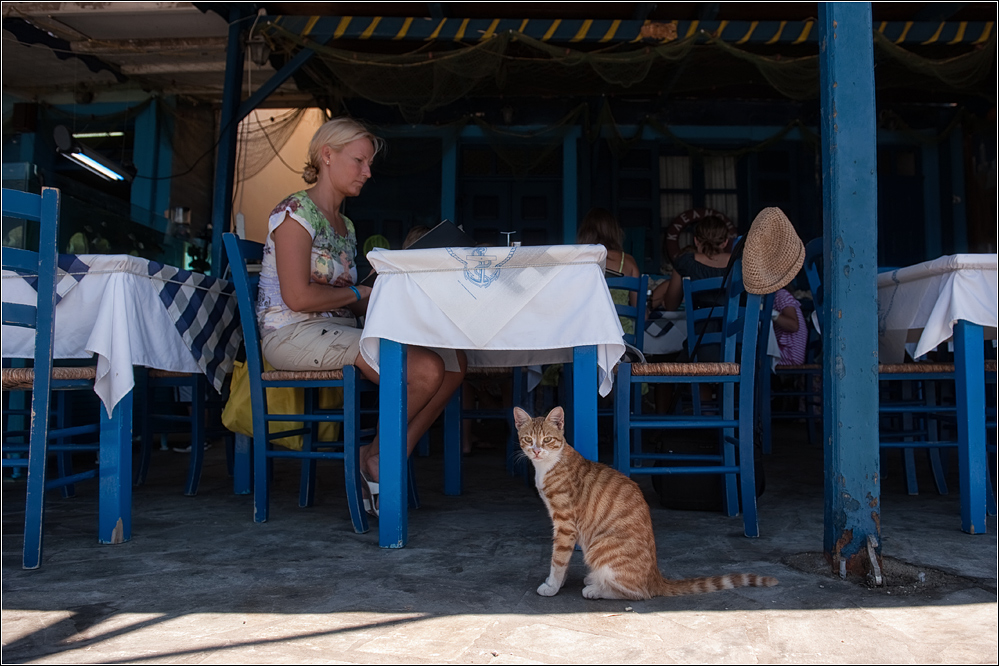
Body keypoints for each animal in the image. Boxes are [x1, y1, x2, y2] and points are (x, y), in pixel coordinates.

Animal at [516, 402, 780, 600]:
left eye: (547, 440)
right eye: (528, 439)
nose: (536, 450)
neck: (547, 465)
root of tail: (656, 577)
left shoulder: (565, 524)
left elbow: (558, 559)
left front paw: (552, 586)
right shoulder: (564, 525)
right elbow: (563, 559)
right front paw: (557, 583)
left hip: (599, 548)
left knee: (638, 593)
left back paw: (596, 589)